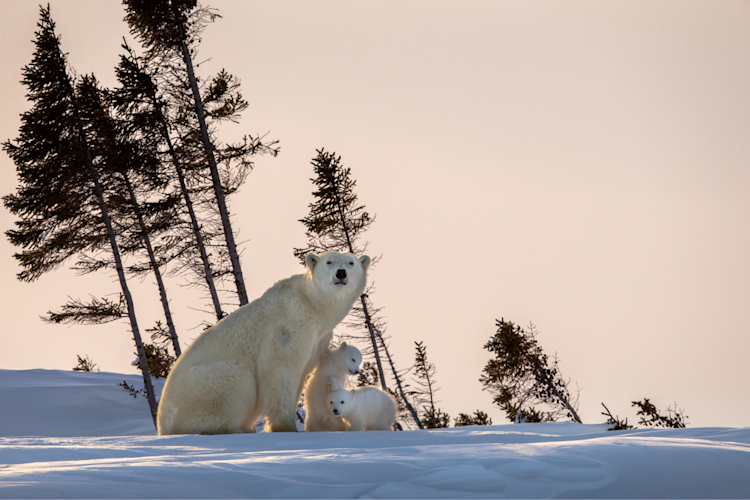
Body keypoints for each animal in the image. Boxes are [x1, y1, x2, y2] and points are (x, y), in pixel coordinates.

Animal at [156, 251, 370, 435]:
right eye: (329, 261)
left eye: (351, 262)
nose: (341, 273)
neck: (311, 304)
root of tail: (161, 423)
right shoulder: (287, 328)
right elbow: (280, 369)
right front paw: (285, 427)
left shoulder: (318, 338)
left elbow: (302, 372)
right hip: (200, 389)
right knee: (238, 379)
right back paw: (237, 429)